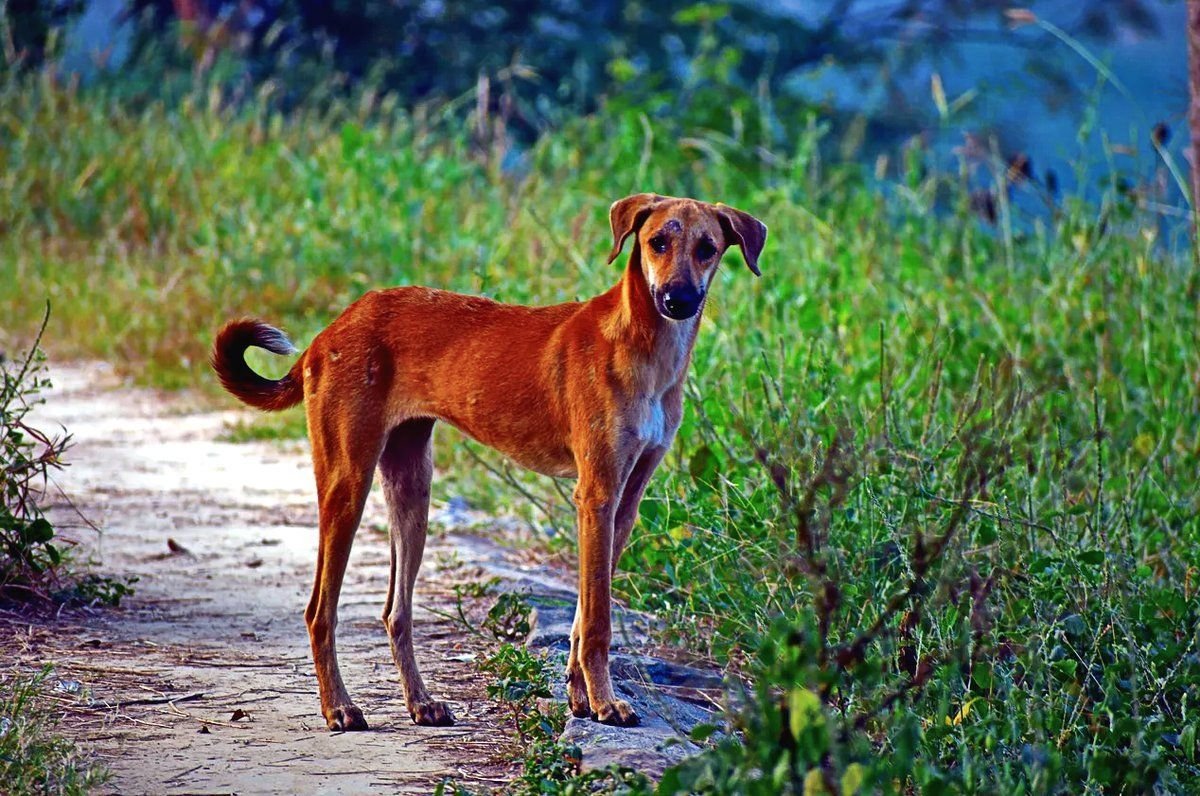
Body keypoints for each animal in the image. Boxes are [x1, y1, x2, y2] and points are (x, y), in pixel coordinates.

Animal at [210, 192, 763, 729]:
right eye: (657, 242)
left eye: (707, 248)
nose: (677, 299)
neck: (643, 347)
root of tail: (330, 331)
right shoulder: (597, 494)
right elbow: (598, 622)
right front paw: (606, 704)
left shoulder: (622, 504)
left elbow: (584, 615)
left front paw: (581, 698)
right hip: (348, 483)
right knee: (319, 611)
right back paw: (339, 708)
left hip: (412, 489)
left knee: (396, 612)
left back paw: (421, 703)